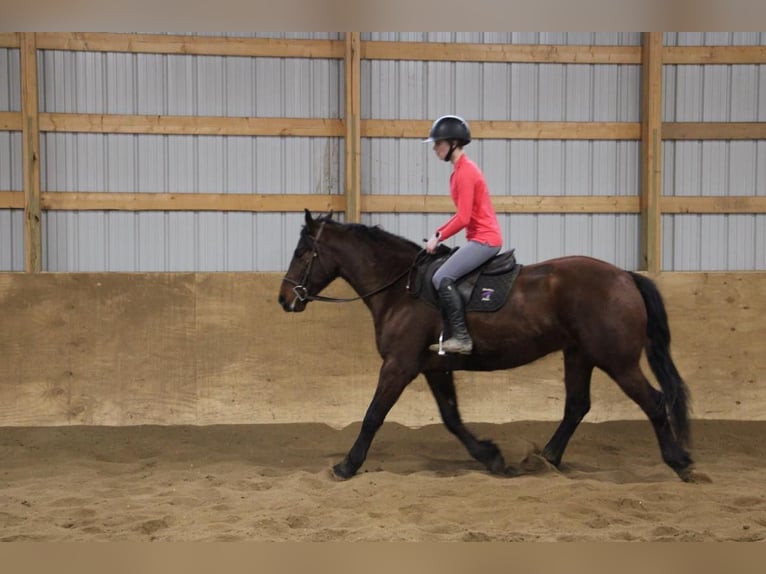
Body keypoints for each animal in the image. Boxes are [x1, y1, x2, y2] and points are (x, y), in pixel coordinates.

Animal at [280, 209, 700, 484]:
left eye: (302, 253)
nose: (285, 299)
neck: (402, 288)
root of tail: (625, 277)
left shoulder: (399, 365)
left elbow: (373, 415)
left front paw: (347, 466)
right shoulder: (433, 367)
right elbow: (451, 418)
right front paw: (492, 457)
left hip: (617, 361)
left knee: (654, 401)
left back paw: (680, 461)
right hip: (579, 355)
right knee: (577, 405)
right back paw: (545, 459)